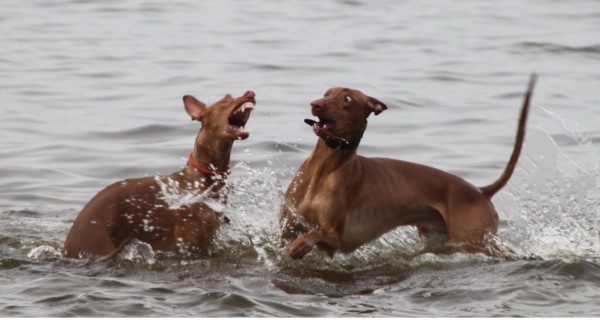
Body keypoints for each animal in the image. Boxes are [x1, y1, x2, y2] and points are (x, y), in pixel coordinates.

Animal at [282, 75, 540, 260]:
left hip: (471, 241)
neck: (324, 169)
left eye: (347, 99)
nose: (315, 103)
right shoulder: (288, 223)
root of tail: (480, 191)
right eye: (326, 93)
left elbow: (315, 232)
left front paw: (299, 247)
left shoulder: (338, 238)